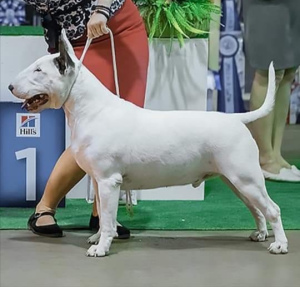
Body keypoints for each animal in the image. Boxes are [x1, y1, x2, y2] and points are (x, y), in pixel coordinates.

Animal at [8, 30, 288, 258]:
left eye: (39, 70)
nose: (10, 86)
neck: (92, 109)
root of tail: (236, 118)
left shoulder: (109, 180)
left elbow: (107, 219)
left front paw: (101, 248)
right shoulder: (99, 181)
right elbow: (104, 216)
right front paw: (98, 237)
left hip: (245, 178)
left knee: (273, 209)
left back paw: (280, 245)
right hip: (236, 180)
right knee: (256, 209)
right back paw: (260, 234)